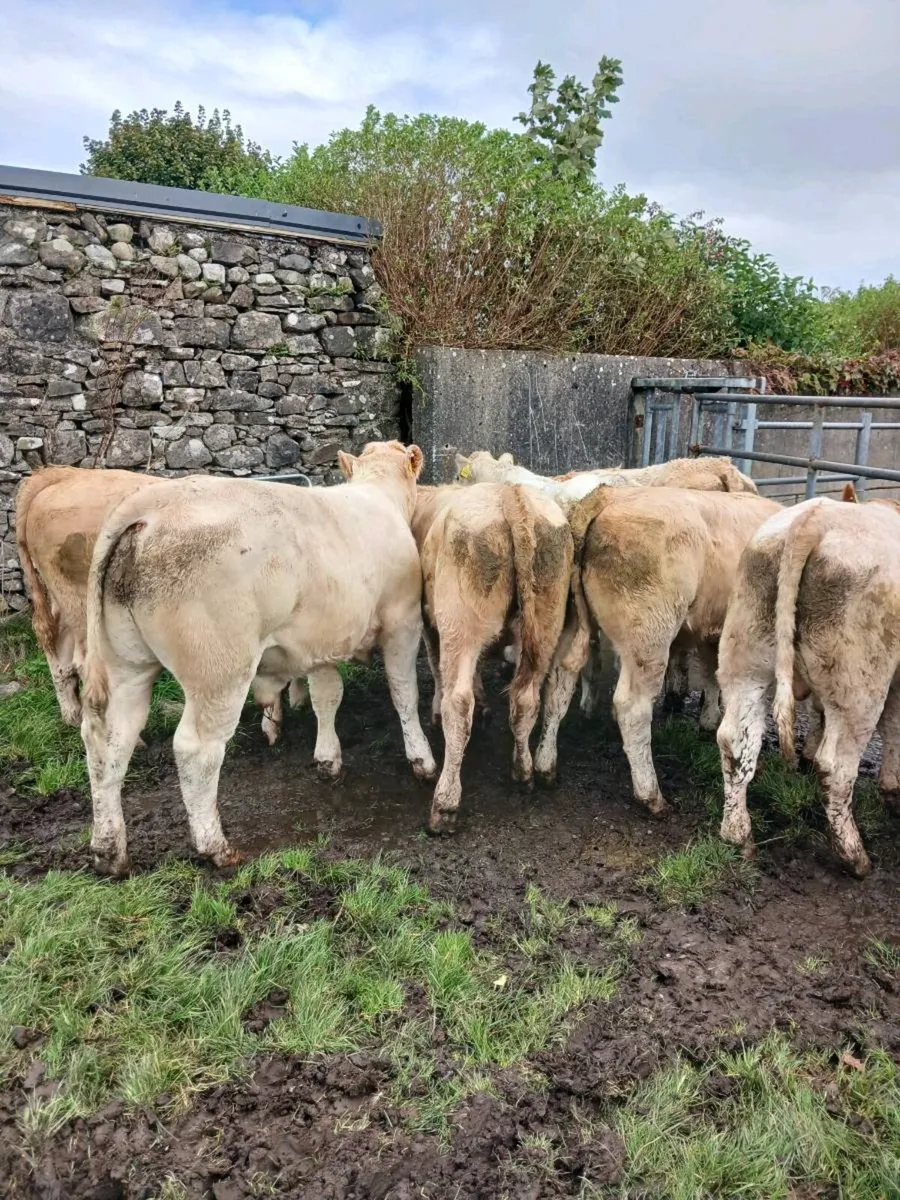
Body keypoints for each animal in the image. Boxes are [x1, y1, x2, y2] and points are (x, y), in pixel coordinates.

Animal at [80, 440, 436, 876]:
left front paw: (328, 759)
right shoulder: (403, 621)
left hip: (125, 664)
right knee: (196, 749)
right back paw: (214, 846)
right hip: (219, 669)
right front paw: (421, 759)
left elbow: (327, 697)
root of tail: (153, 502)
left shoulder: (321, 639)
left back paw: (109, 850)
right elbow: (404, 693)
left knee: (109, 739)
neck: (378, 498)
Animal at [411, 483, 573, 831]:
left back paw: (445, 805)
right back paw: (523, 773)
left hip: (459, 623)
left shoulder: (429, 623)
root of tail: (509, 493)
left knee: (459, 704)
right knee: (526, 698)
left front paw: (437, 710)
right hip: (546, 621)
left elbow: (437, 669)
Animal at [531, 486, 781, 813]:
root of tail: (607, 496)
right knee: (632, 708)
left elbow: (712, 674)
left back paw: (545, 766)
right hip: (649, 637)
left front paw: (709, 719)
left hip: (571, 622)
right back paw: (650, 795)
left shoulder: (713, 631)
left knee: (558, 688)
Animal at [716, 492, 900, 877]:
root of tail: (814, 518)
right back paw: (854, 855)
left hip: (745, 658)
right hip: (859, 683)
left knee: (735, 740)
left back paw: (738, 834)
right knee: (837, 766)